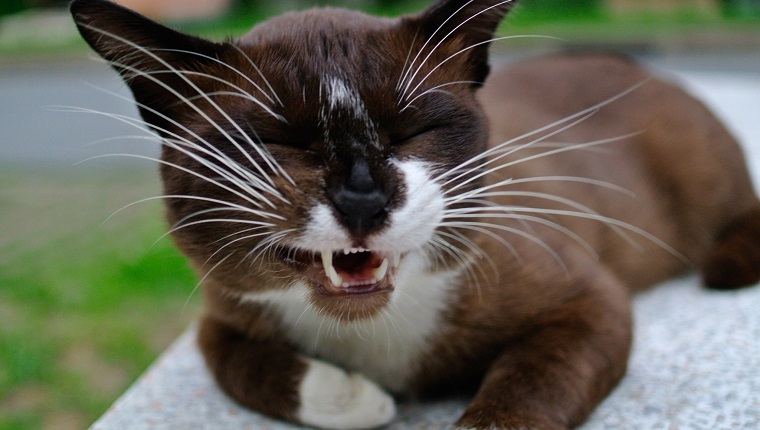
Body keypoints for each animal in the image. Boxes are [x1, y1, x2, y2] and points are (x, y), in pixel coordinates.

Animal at [71, 0, 760, 428]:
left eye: (413, 132)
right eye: (277, 141)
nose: (363, 197)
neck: (379, 331)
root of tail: (628, 60)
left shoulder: (587, 299)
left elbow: (529, 382)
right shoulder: (221, 313)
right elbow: (238, 365)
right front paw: (358, 399)